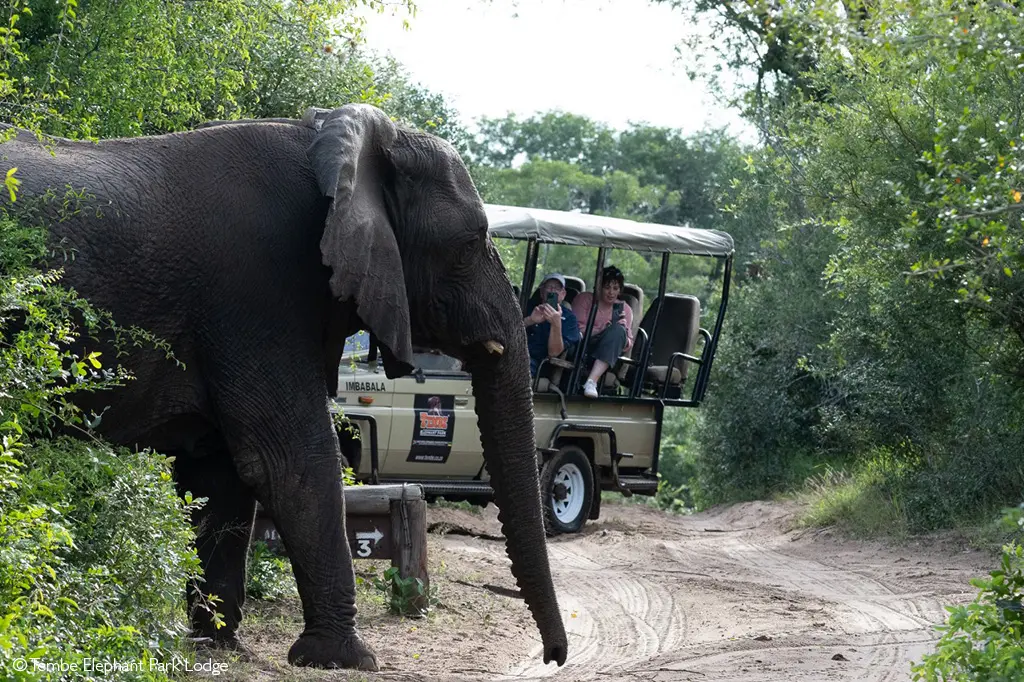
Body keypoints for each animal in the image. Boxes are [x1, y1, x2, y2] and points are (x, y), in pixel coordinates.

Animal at [0, 104, 568, 670]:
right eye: (469, 244)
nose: (555, 657)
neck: (332, 151)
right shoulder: (260, 294)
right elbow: (293, 462)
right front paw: (345, 659)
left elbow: (221, 471)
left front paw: (217, 644)